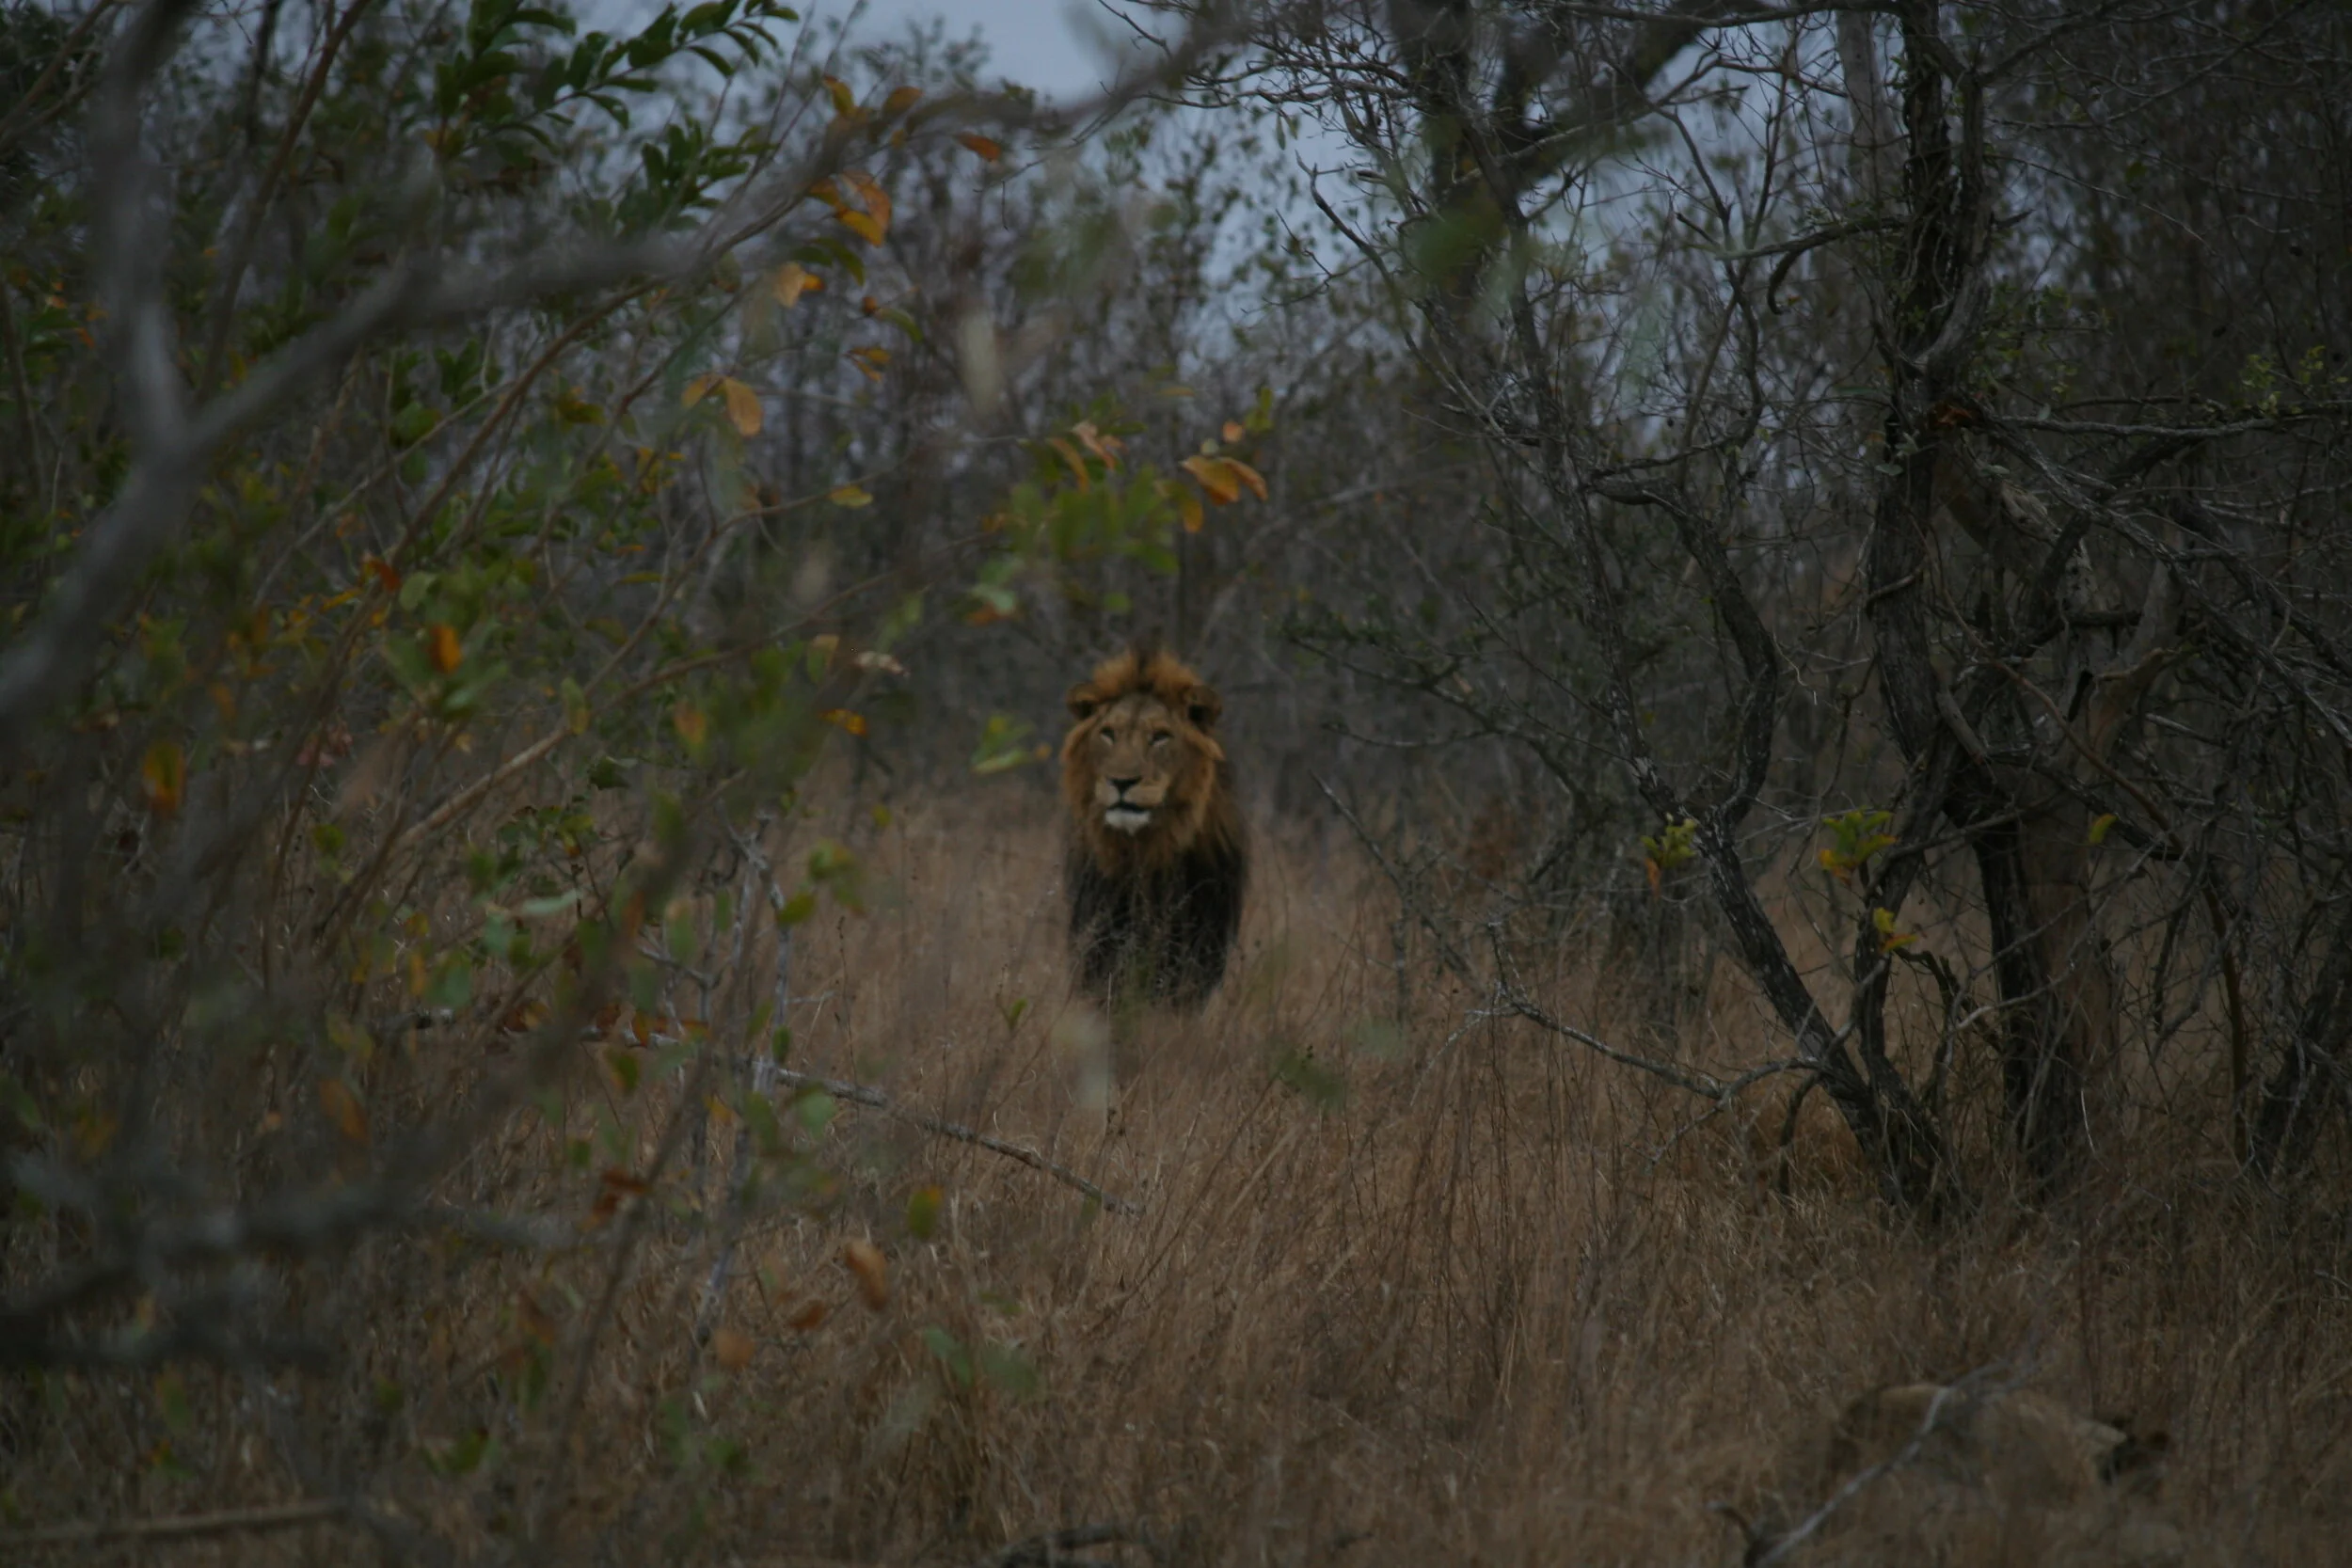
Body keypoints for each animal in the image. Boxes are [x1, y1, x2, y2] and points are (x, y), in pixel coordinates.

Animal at [1060, 645, 1248, 1010]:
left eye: (1160, 736)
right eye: (1108, 733)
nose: (1121, 781)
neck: (1145, 850)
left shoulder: (1199, 943)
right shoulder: (1101, 934)